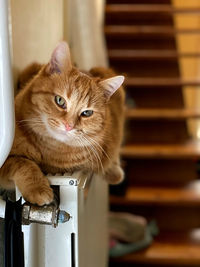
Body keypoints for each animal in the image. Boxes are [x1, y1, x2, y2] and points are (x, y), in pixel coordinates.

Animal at [0, 42, 125, 206]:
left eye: (87, 113)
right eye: (60, 101)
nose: (69, 126)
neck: (48, 149)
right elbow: (23, 163)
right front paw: (38, 188)